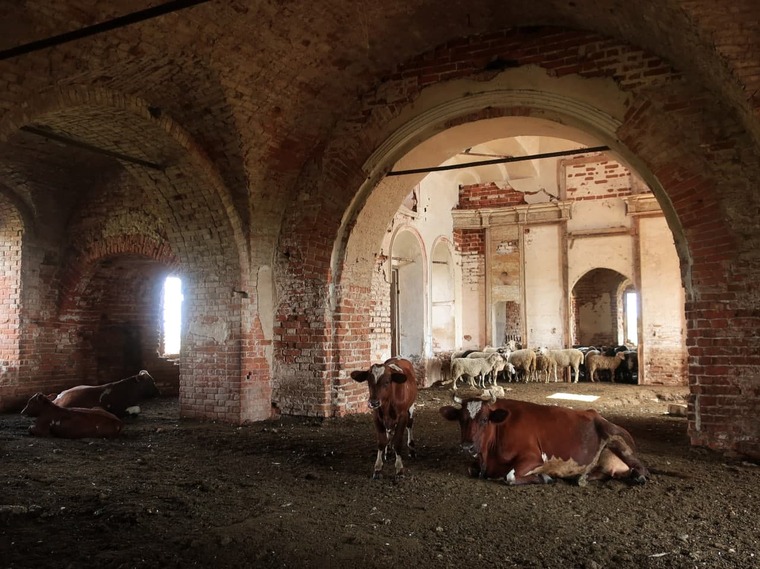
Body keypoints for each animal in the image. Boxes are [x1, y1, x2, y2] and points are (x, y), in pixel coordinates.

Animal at [440, 394, 648, 484]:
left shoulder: (533, 457)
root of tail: (596, 414)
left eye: (484, 420)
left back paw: (639, 476)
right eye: (461, 420)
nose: (467, 446)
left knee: (640, 467)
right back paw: (582, 477)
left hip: (616, 439)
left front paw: (545, 476)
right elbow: (471, 469)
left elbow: (510, 476)